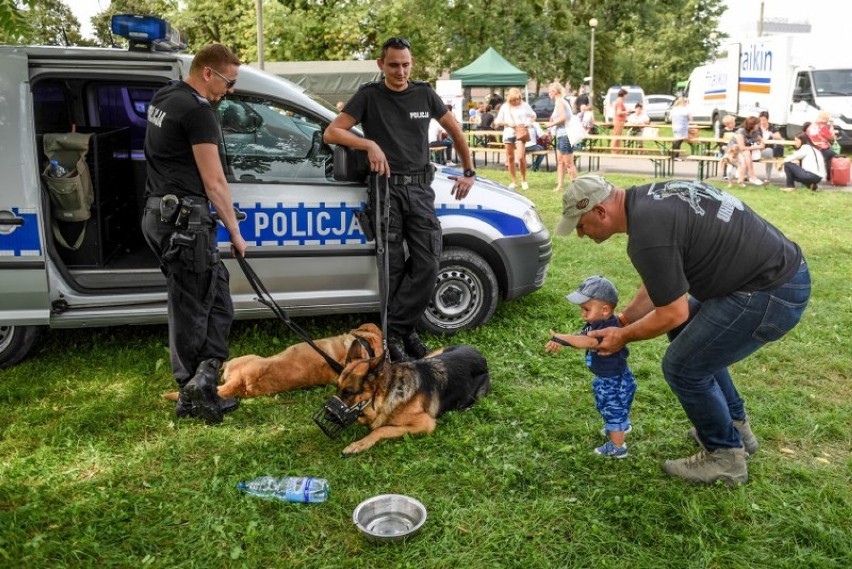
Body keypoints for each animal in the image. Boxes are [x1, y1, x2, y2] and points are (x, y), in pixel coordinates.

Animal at [332, 340, 492, 454]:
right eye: (337, 388)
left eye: (348, 392)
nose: (329, 415)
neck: (389, 391)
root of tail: (479, 353)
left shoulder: (425, 424)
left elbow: (381, 429)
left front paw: (359, 443)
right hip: (430, 356)